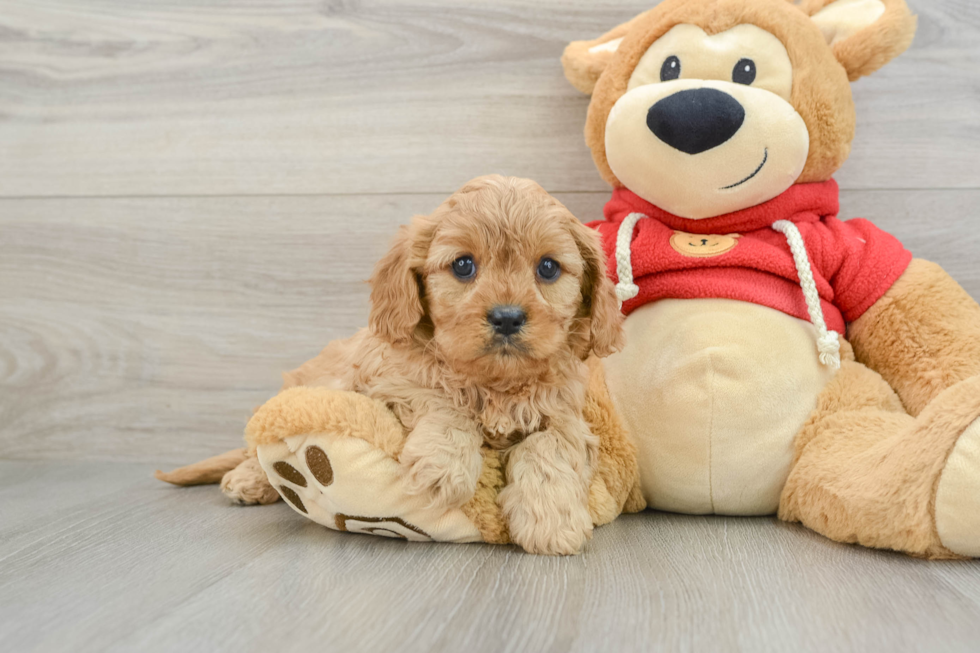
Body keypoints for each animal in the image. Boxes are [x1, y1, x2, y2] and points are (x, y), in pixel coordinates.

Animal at [231, 176, 624, 552]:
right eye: (463, 265)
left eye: (548, 267)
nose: (507, 317)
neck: (493, 383)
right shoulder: (387, 379)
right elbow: (439, 397)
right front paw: (444, 467)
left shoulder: (568, 416)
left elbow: (548, 445)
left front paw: (551, 521)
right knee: (258, 446)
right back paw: (250, 479)